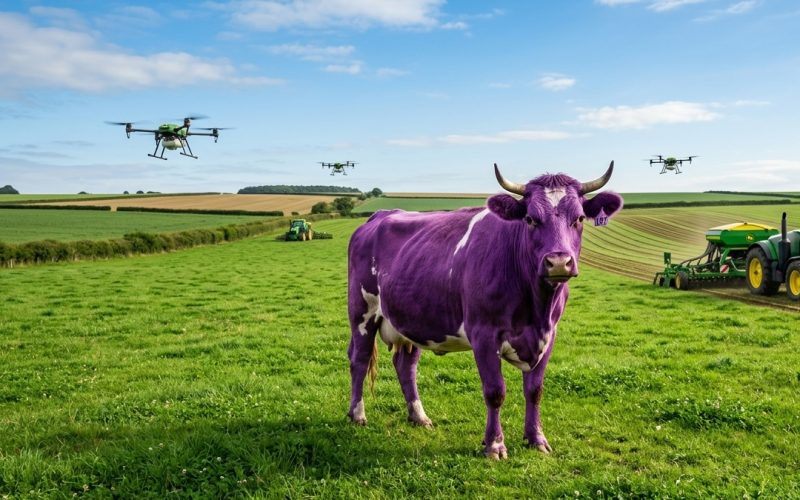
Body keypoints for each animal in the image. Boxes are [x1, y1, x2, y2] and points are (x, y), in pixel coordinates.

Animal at [346, 162, 623, 459]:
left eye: (580, 218)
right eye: (530, 219)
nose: (558, 262)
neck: (535, 307)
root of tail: (380, 215)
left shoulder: (548, 335)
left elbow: (534, 390)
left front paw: (536, 438)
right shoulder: (484, 334)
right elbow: (495, 391)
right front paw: (495, 444)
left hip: (414, 319)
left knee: (405, 365)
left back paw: (419, 416)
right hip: (362, 312)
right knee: (359, 358)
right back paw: (357, 414)